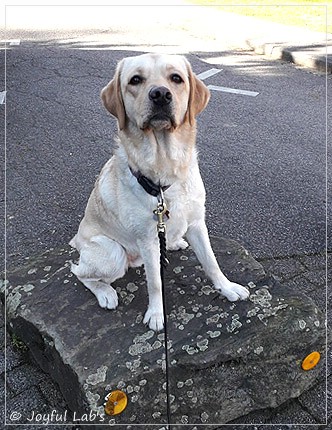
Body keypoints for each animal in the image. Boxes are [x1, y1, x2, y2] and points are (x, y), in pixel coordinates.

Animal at [70, 52, 249, 330]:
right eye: (135, 80)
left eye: (176, 78)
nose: (161, 95)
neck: (165, 171)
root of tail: (77, 240)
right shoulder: (147, 237)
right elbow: (155, 282)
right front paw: (155, 314)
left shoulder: (197, 223)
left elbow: (211, 262)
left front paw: (227, 288)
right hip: (112, 253)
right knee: (80, 273)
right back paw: (106, 293)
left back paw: (174, 243)